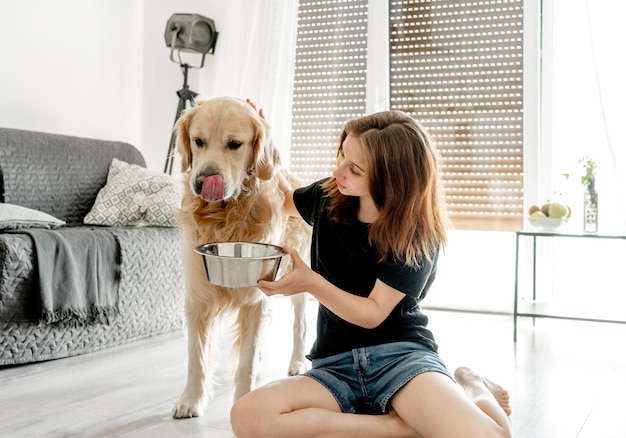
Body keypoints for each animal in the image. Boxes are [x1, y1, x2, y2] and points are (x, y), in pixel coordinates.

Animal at [172, 97, 310, 420]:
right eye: (198, 141)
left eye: (235, 144)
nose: (203, 180)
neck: (225, 216)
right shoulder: (197, 294)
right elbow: (196, 357)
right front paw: (191, 399)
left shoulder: (255, 297)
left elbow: (246, 360)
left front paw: (244, 402)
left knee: (300, 322)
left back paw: (298, 361)